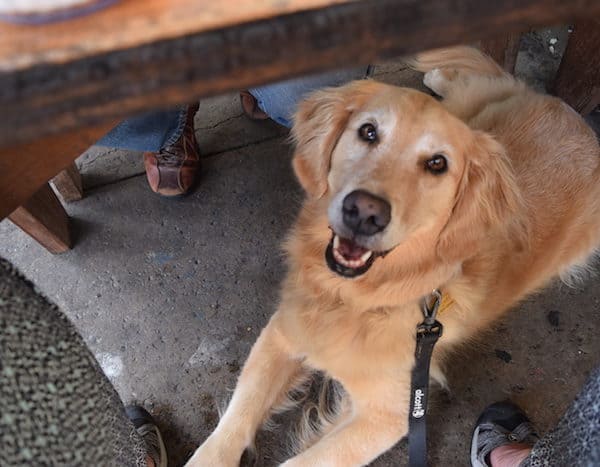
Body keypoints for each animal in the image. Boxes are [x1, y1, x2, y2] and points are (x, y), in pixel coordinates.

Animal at [186, 48, 600, 467]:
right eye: (368, 132)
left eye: (437, 163)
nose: (364, 212)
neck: (356, 298)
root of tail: (573, 117)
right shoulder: (284, 332)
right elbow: (235, 421)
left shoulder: (392, 413)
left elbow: (302, 461)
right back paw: (439, 76)